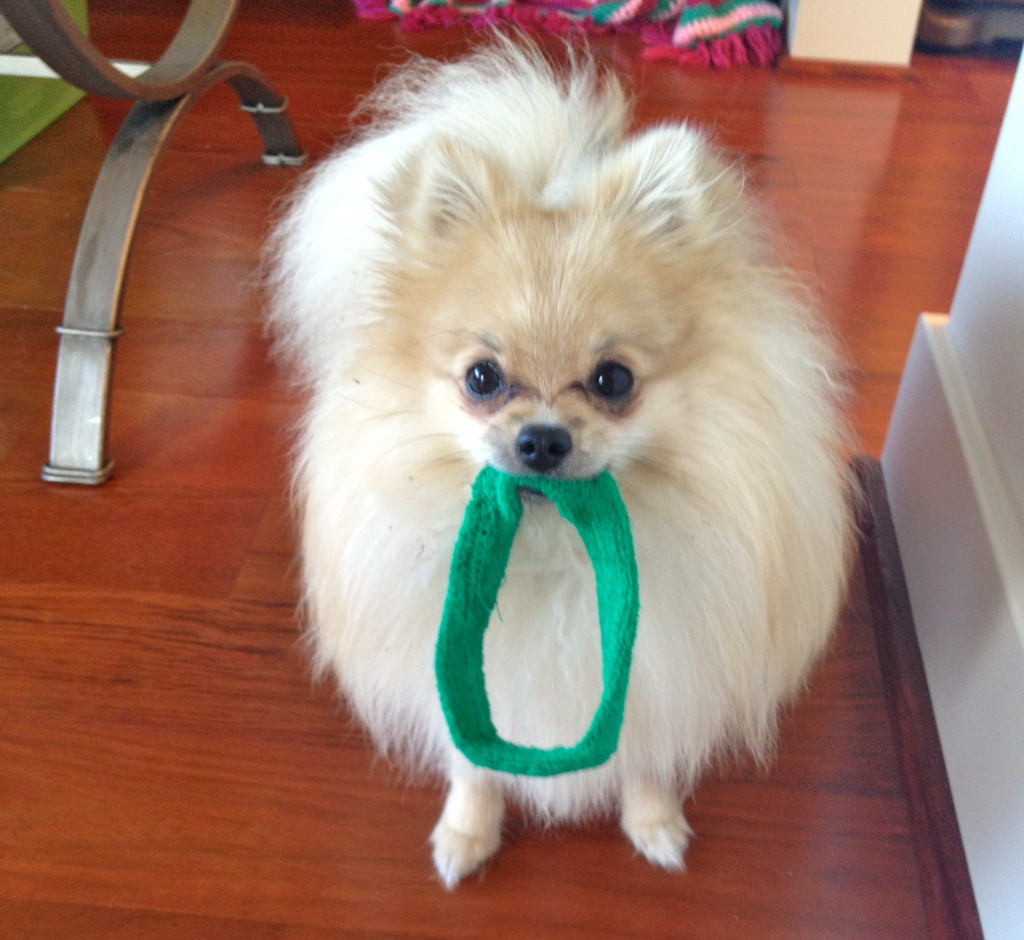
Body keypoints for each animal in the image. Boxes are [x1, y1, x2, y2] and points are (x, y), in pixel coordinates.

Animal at [266, 36, 856, 888]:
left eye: (613, 380)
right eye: (483, 378)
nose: (542, 438)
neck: (553, 553)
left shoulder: (661, 676)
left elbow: (645, 760)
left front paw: (654, 824)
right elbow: (473, 763)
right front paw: (467, 832)